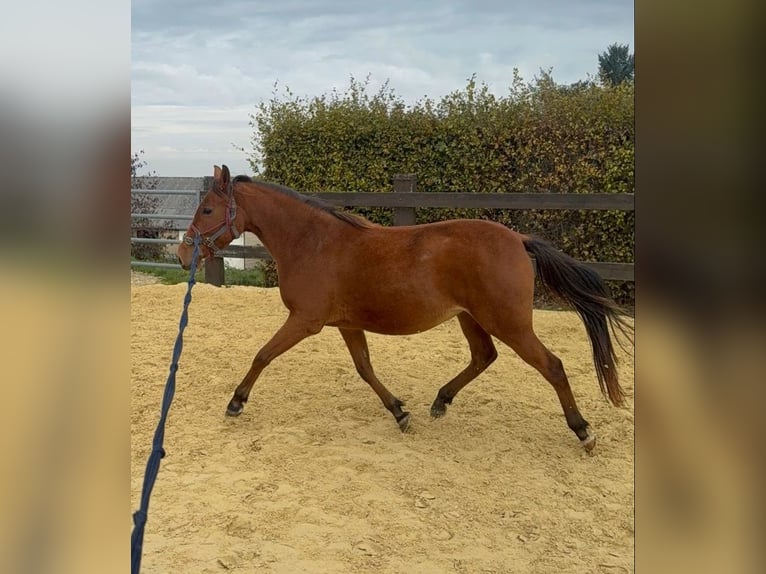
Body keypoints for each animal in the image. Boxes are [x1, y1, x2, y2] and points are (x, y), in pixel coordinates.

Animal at [177, 165, 633, 452]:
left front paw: (236, 403)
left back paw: (583, 432)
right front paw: (400, 412)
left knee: (551, 366)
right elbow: (365, 368)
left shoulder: (305, 321)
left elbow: (263, 355)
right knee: (484, 356)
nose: (183, 255)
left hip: (509, 323)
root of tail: (519, 240)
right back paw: (441, 402)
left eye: (207, 209)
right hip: (472, 319)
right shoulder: (345, 324)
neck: (313, 242)